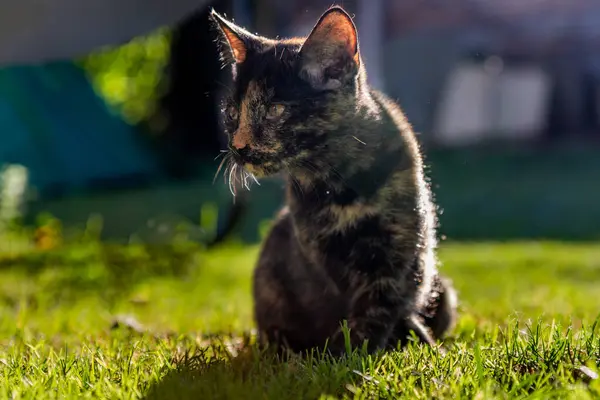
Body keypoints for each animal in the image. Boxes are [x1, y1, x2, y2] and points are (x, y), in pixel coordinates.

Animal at [209, 5, 458, 356]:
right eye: (232, 112)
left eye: (275, 110)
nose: (238, 146)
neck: (340, 182)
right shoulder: (323, 255)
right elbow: (353, 308)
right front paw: (347, 354)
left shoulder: (402, 247)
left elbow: (385, 303)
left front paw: (411, 349)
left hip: (442, 290)